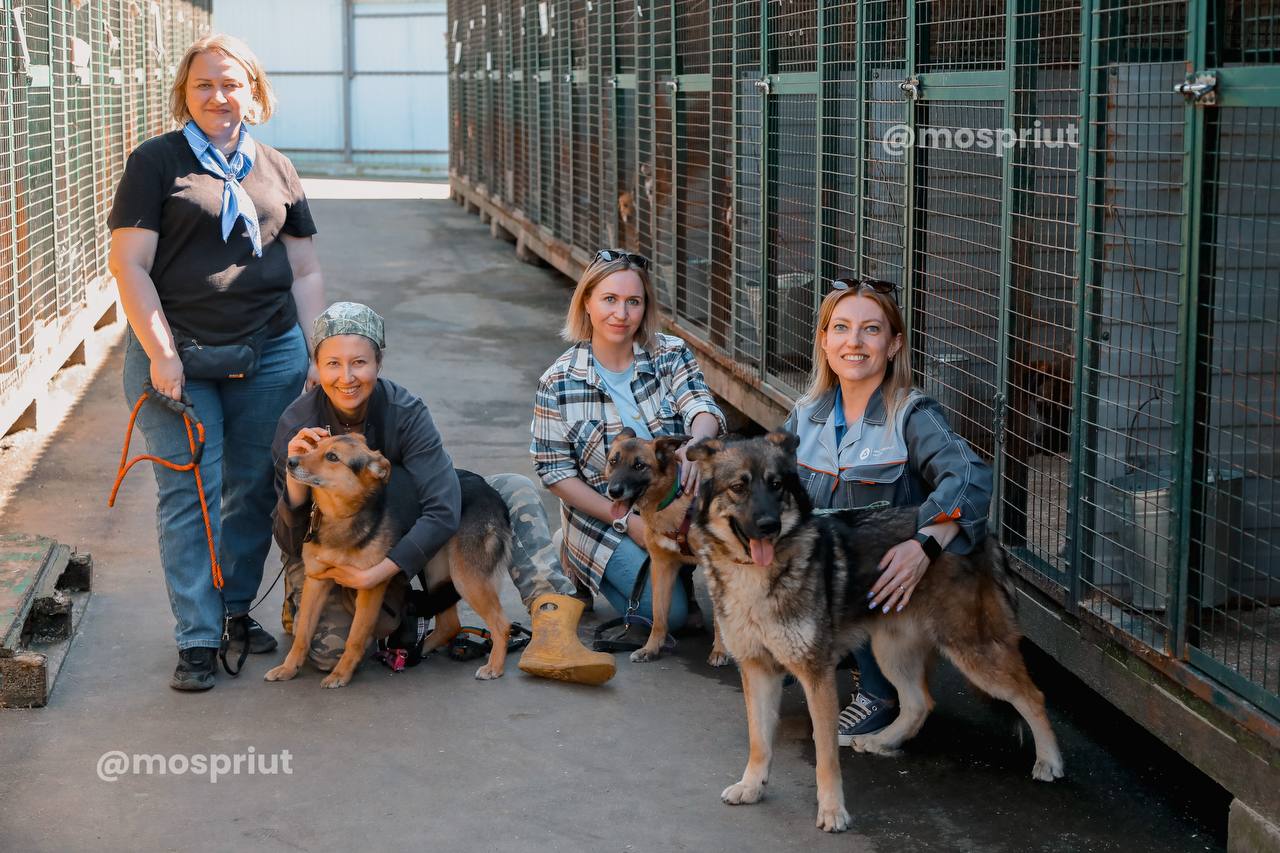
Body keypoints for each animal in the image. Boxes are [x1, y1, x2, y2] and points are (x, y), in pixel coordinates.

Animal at [264, 432, 514, 686]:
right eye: (314, 446)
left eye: (332, 456)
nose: (290, 462)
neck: (343, 515)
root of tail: (492, 493)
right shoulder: (316, 581)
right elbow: (302, 635)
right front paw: (288, 668)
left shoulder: (370, 586)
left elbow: (354, 638)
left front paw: (340, 674)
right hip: (437, 571)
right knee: (450, 625)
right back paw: (412, 653)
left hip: (465, 577)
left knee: (501, 624)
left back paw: (494, 666)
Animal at [601, 425, 727, 666]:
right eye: (613, 461)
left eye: (639, 465)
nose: (614, 491)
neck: (674, 499)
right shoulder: (661, 566)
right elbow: (658, 614)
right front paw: (650, 649)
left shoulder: (717, 567)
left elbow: (720, 617)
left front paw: (720, 651)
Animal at [686, 432, 1064, 829]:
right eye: (739, 487)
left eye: (776, 485)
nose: (769, 525)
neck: (756, 575)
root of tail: (986, 535)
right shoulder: (758, 670)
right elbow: (759, 740)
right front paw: (752, 786)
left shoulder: (816, 675)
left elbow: (825, 756)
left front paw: (832, 810)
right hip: (891, 652)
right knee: (919, 703)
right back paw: (883, 740)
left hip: (972, 652)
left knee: (1032, 696)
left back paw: (1049, 760)